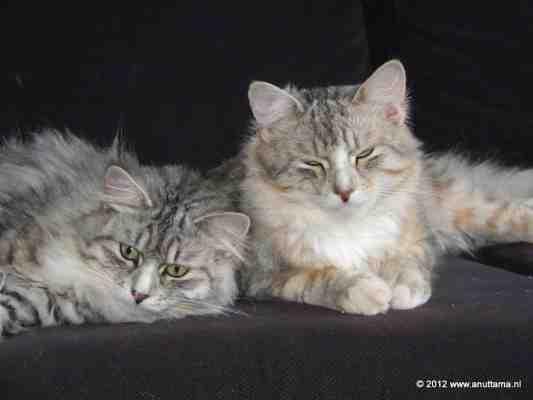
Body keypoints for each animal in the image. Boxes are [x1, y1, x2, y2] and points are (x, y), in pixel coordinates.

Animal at [221, 59, 533, 316]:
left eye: (364, 154)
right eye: (313, 163)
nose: (345, 192)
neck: (348, 225)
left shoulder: (419, 239)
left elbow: (407, 263)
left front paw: (402, 289)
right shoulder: (261, 275)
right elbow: (315, 277)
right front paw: (366, 290)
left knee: (504, 210)